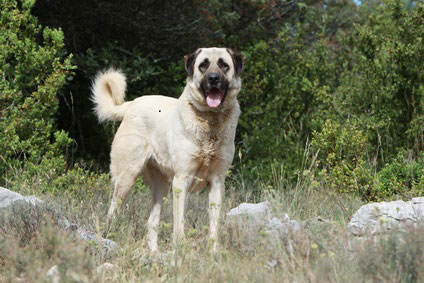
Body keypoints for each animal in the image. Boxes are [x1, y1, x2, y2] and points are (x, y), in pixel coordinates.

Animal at [92, 47, 245, 252]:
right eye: (203, 65)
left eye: (223, 65)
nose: (213, 79)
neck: (210, 123)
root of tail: (132, 104)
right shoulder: (182, 180)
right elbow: (179, 224)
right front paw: (180, 251)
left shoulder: (217, 182)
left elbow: (214, 225)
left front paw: (214, 253)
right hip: (126, 178)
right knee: (112, 212)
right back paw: (108, 239)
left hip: (161, 187)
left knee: (151, 222)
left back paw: (154, 253)